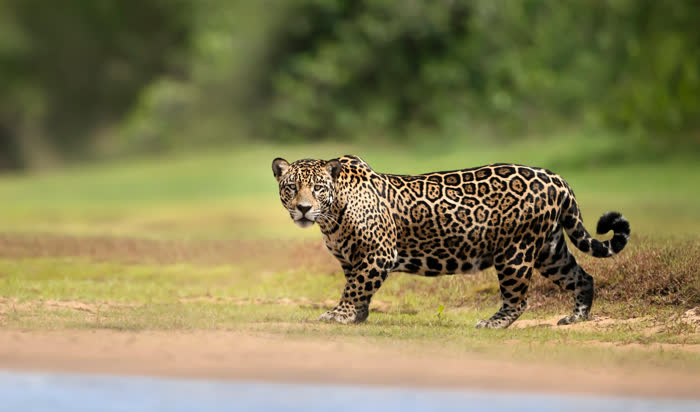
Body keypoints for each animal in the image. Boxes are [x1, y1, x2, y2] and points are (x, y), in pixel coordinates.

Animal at [272, 155, 630, 329]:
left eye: (318, 188)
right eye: (291, 187)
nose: (304, 208)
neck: (332, 214)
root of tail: (557, 178)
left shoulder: (378, 254)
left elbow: (354, 287)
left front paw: (339, 315)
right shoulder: (353, 259)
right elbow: (358, 287)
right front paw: (357, 316)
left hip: (515, 251)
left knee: (517, 299)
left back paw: (492, 323)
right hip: (550, 250)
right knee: (583, 276)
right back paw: (576, 317)